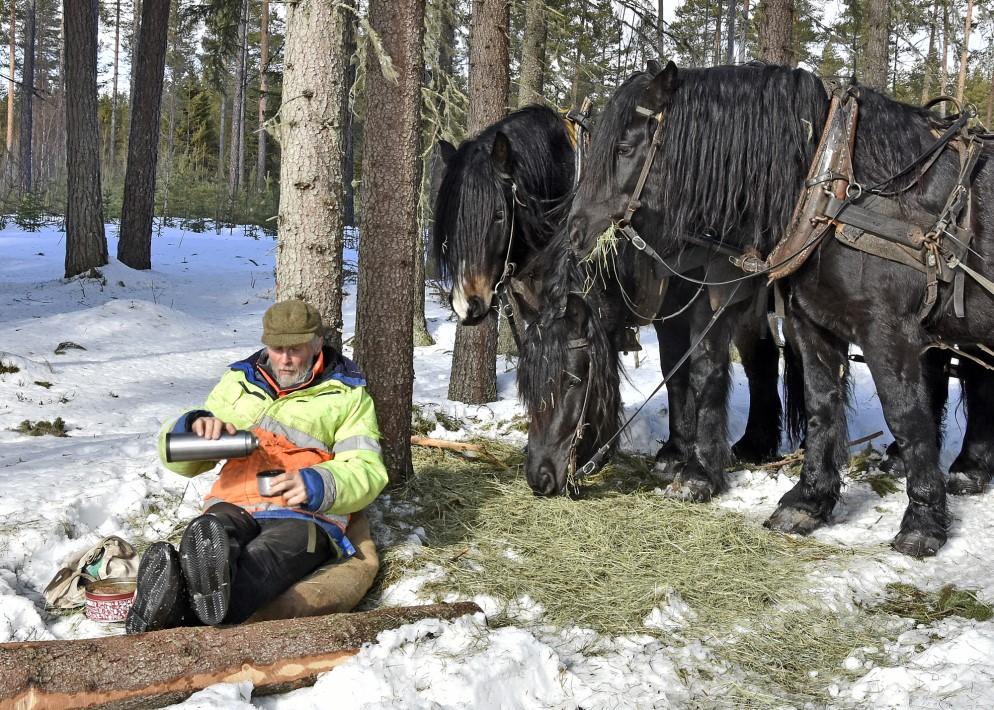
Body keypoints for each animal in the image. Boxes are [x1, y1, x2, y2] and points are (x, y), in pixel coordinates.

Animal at [564, 62, 992, 556]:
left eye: (624, 148)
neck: (837, 188)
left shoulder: (888, 333)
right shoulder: (811, 323)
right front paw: (808, 501)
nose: (575, 231)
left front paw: (922, 522)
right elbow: (820, 405)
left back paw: (966, 469)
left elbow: (907, 416)